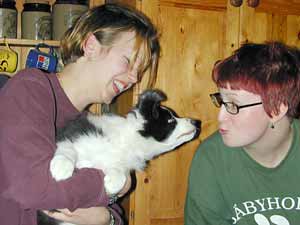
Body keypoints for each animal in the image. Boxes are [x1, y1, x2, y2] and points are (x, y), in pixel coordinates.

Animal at [38, 89, 200, 225]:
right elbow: (67, 149)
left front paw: (110, 186)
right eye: (171, 120)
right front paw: (61, 168)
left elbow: (120, 175)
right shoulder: (70, 136)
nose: (195, 121)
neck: (126, 141)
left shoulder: (120, 164)